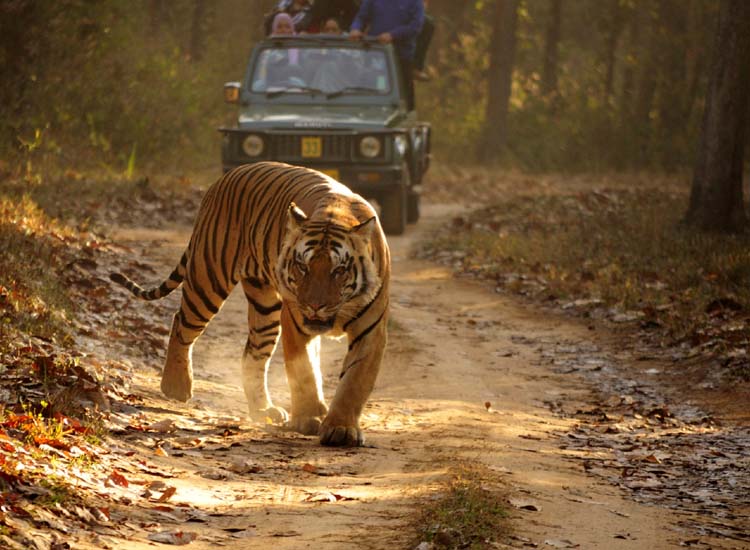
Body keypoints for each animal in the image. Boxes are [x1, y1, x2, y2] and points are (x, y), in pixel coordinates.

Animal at [114, 162, 394, 446]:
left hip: (264, 308)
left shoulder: (370, 330)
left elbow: (355, 381)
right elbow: (303, 371)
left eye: (339, 270)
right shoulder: (295, 321)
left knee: (253, 354)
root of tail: (225, 177)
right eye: (303, 266)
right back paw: (176, 386)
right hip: (208, 278)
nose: (314, 306)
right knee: (181, 322)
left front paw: (340, 428)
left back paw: (263, 409)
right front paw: (308, 419)